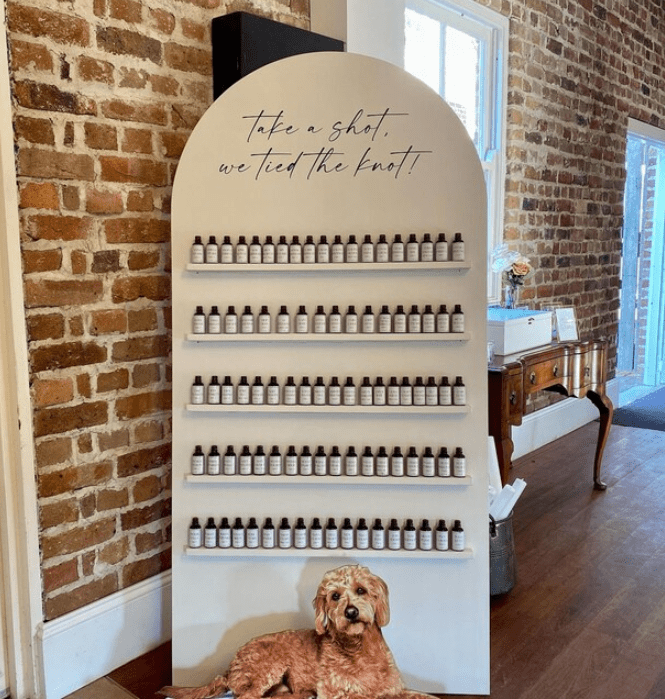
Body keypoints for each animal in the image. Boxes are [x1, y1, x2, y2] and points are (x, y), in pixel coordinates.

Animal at [159, 568, 434, 696]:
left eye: (361, 590)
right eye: (335, 596)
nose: (351, 612)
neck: (359, 649)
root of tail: (228, 668)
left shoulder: (394, 689)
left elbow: (423, 696)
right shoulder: (336, 694)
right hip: (269, 665)